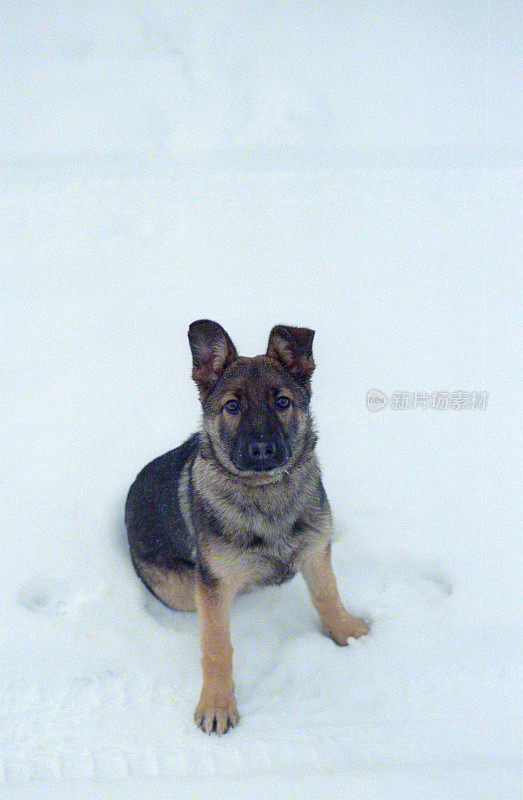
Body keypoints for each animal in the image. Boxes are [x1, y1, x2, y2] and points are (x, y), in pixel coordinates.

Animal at [126, 322, 368, 736]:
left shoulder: (316, 549)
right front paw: (217, 704)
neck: (266, 494)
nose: (261, 450)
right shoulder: (213, 584)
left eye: (283, 402)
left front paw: (347, 633)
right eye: (232, 406)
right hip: (182, 591)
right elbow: (216, 647)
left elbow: (328, 596)